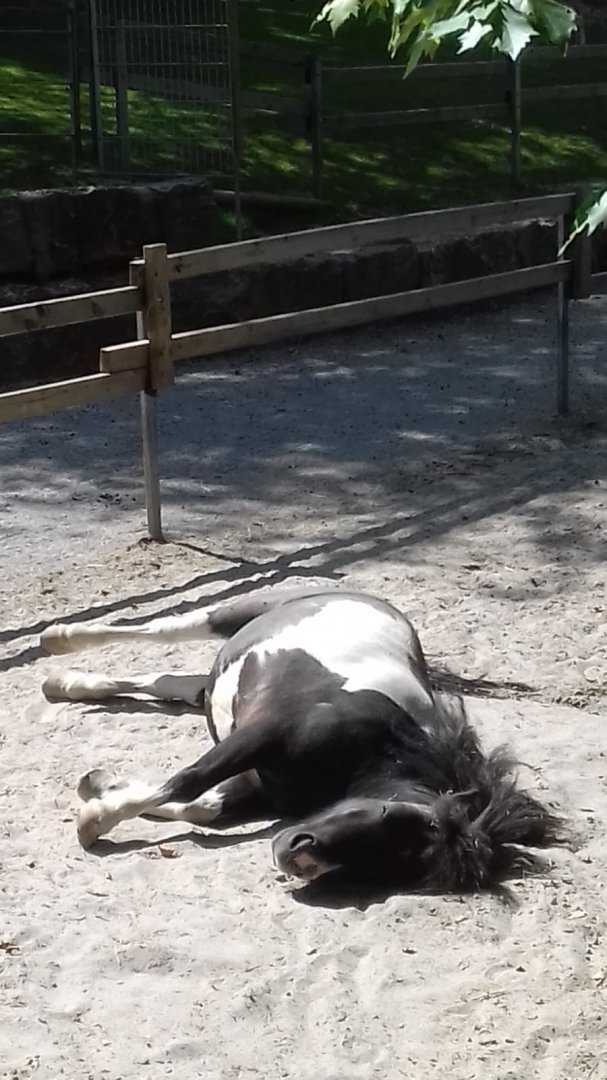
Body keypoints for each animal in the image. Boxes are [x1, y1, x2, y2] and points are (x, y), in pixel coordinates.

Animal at [40, 587, 565, 892]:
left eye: (389, 865)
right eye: (387, 814)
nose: (300, 857)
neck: (381, 743)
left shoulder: (258, 782)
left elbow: (200, 808)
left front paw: (99, 785)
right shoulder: (262, 735)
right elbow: (188, 782)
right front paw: (93, 820)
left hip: (211, 685)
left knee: (170, 683)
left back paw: (66, 684)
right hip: (234, 615)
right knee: (160, 629)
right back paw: (60, 638)